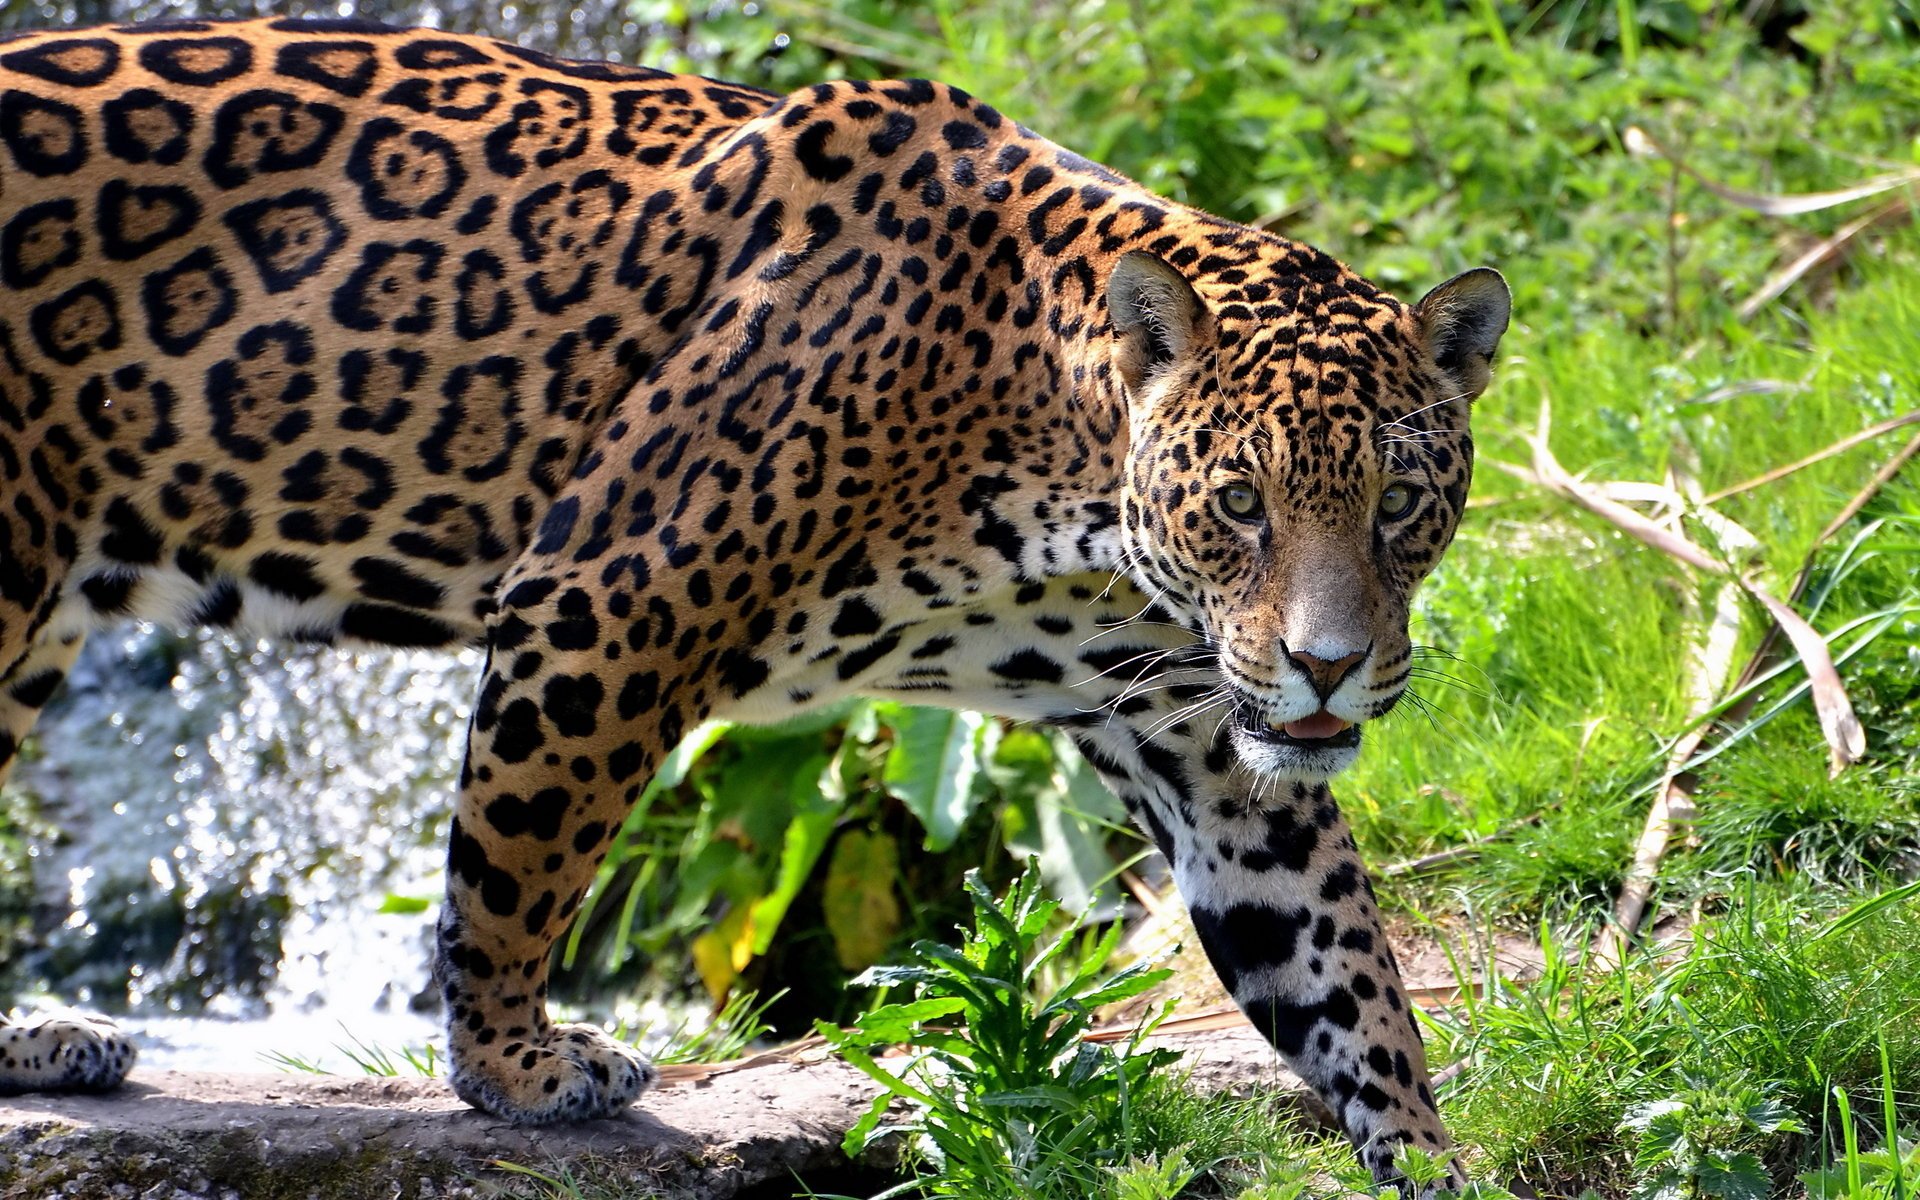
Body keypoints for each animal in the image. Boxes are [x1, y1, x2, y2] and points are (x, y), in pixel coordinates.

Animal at [0, 16, 1510, 1191]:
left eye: (1398, 503)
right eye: (1242, 503)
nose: (1330, 669)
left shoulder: (1206, 738)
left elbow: (1341, 967)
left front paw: (1430, 1157)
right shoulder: (608, 596)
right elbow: (514, 869)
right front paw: (516, 1068)